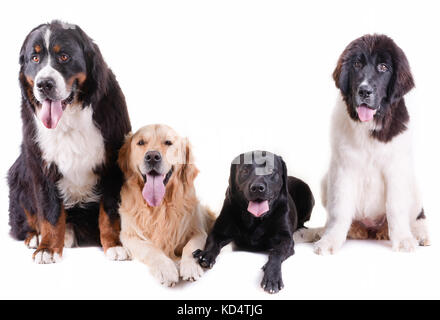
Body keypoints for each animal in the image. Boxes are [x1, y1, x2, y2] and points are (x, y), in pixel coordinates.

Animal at [7, 21, 131, 264]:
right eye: (35, 58)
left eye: (64, 57)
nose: (44, 84)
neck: (69, 118)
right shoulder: (41, 164)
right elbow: (50, 212)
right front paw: (47, 248)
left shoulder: (112, 163)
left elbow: (110, 211)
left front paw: (114, 244)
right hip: (18, 175)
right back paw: (36, 236)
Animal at [116, 124, 214, 286]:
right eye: (141, 142)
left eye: (168, 142)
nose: (152, 157)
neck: (160, 206)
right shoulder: (129, 235)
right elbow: (151, 249)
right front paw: (166, 270)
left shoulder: (199, 231)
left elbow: (190, 246)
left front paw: (190, 267)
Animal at [194, 151, 314, 294]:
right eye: (245, 170)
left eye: (270, 170)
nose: (257, 187)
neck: (255, 219)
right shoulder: (219, 231)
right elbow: (212, 242)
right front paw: (205, 255)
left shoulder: (286, 239)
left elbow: (276, 253)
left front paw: (272, 277)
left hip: (307, 194)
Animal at [296, 33, 430, 254]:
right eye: (357, 65)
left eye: (383, 67)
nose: (364, 91)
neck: (370, 126)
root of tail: (371, 228)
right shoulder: (342, 168)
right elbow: (339, 210)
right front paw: (330, 240)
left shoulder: (396, 168)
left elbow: (396, 207)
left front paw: (403, 239)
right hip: (326, 180)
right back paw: (348, 230)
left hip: (413, 184)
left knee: (417, 215)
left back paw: (417, 234)